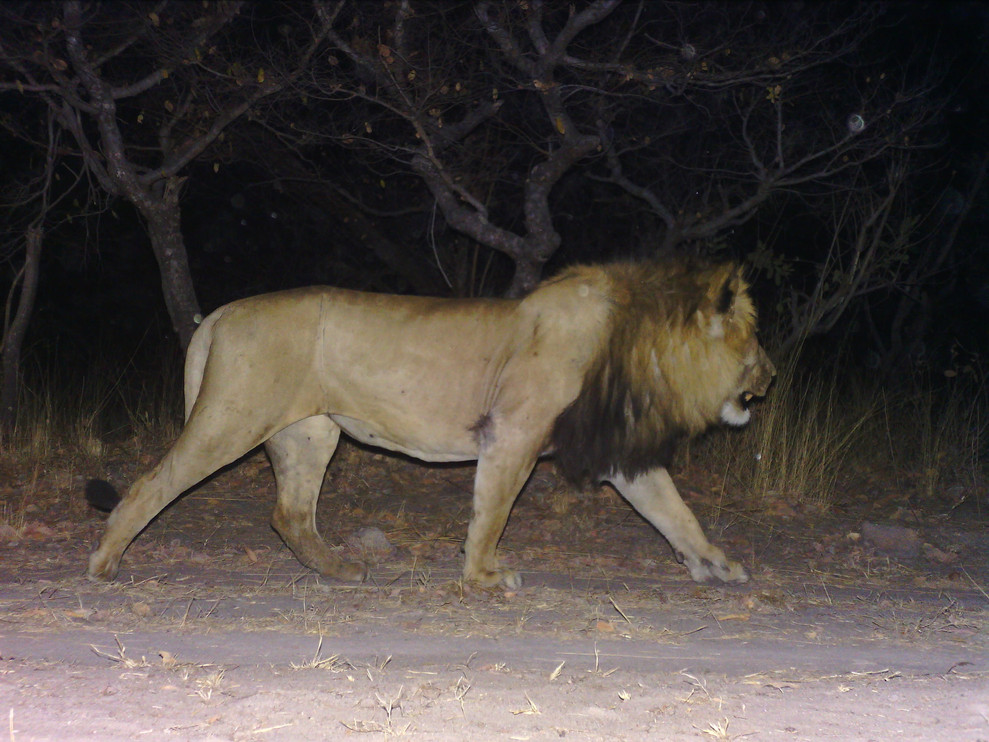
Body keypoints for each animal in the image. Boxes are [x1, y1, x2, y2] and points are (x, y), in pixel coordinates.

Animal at [86, 260, 774, 588]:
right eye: (756, 338)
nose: (772, 375)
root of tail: (221, 312)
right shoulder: (512, 436)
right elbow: (491, 512)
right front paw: (484, 577)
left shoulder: (617, 452)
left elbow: (675, 513)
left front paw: (717, 565)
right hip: (233, 418)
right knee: (152, 484)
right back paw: (105, 562)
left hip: (312, 432)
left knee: (289, 514)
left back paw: (342, 571)